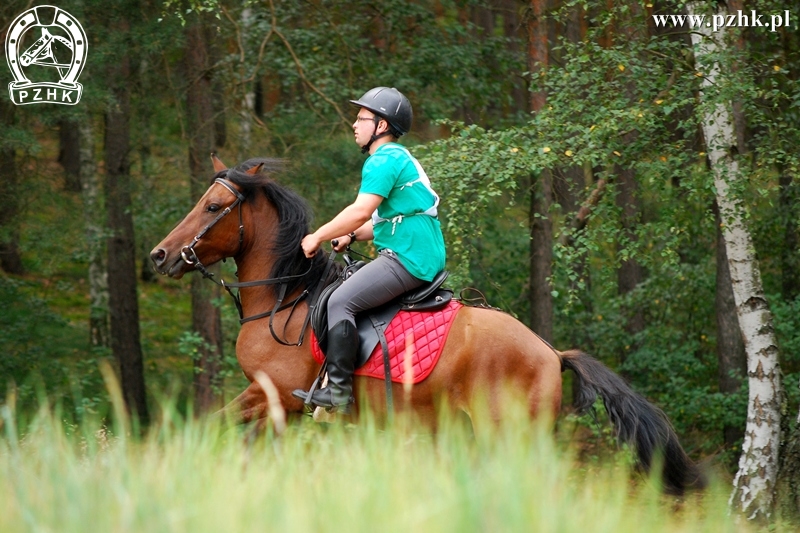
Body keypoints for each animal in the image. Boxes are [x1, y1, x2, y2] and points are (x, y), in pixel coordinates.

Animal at [152, 157, 708, 494]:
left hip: (508, 435)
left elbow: (217, 426)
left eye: (213, 207)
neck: (284, 298)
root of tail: (552, 353)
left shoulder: (272, 397)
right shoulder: (273, 405)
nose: (160, 255)